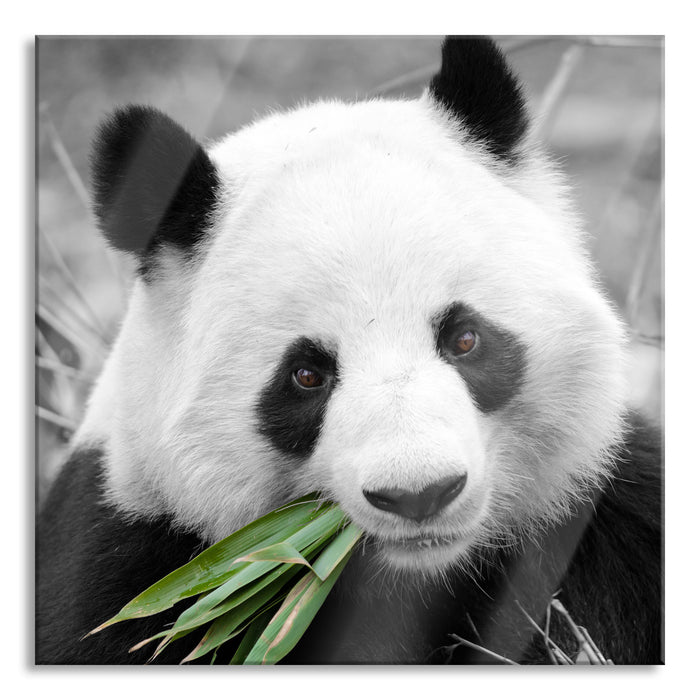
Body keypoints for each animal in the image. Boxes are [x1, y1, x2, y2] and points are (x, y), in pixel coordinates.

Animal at [36, 37, 662, 665]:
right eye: (307, 375)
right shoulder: (137, 562)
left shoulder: (601, 522)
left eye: (464, 338)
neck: (412, 575)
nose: (419, 494)